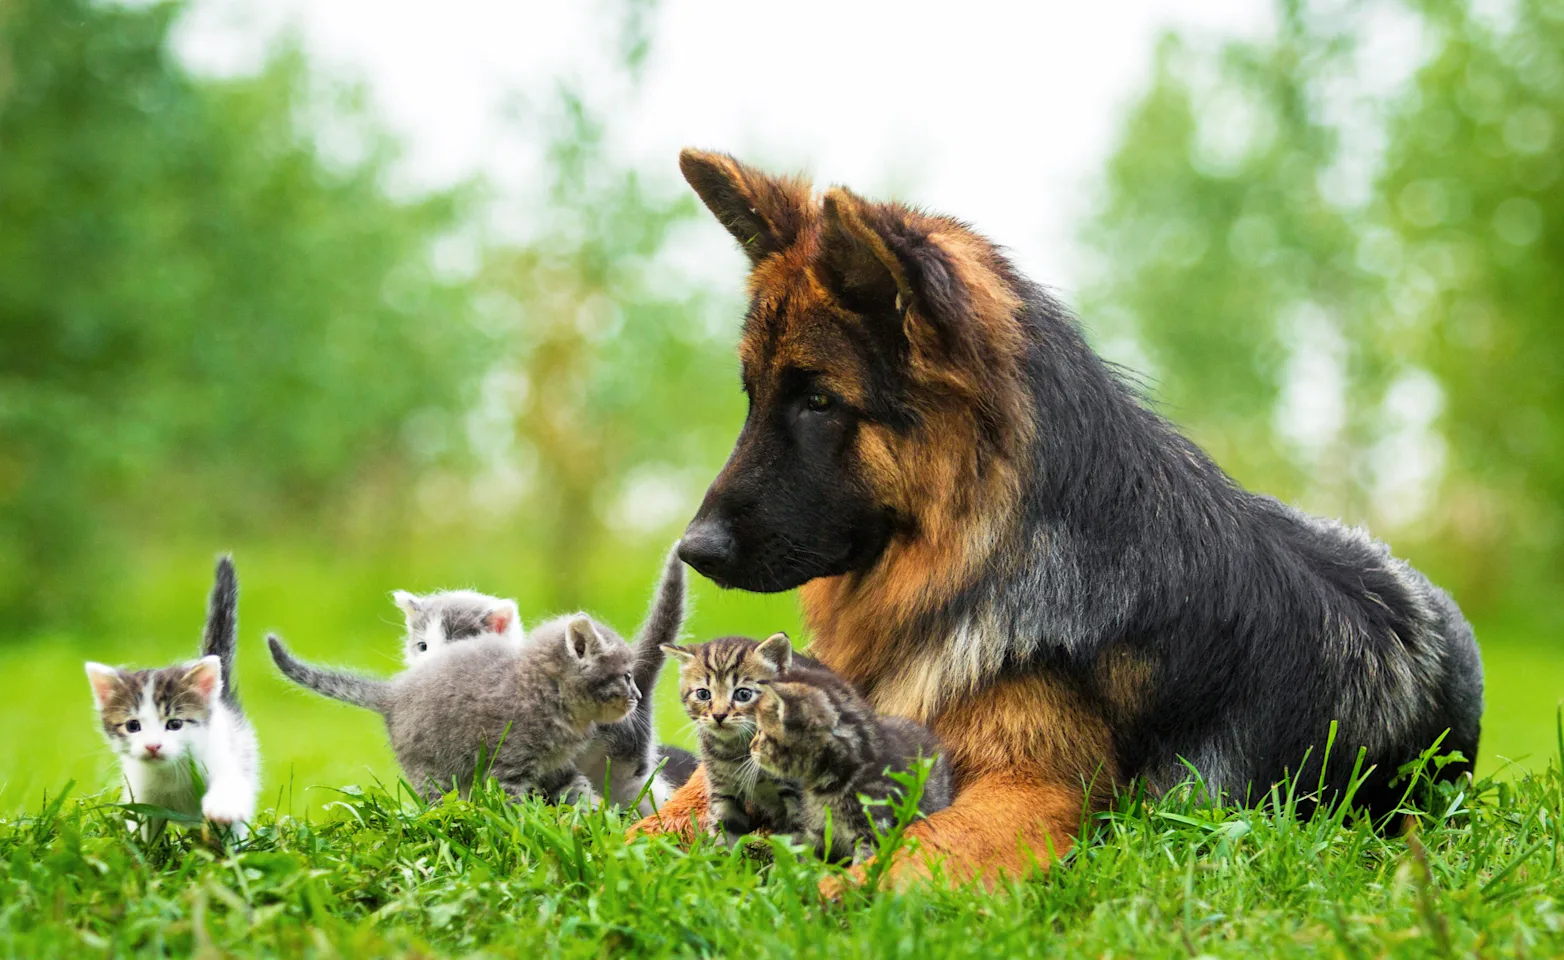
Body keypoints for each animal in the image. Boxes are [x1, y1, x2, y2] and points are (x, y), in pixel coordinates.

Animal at [83, 556, 259, 844]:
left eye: (175, 724)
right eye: (133, 725)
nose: (153, 746)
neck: (171, 770)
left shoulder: (224, 759)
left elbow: (232, 787)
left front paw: (222, 807)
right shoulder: (141, 792)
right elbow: (143, 828)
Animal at [272, 616, 638, 806]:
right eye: (627, 675)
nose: (636, 695)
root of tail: (394, 692)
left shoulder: (556, 767)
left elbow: (580, 793)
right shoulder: (507, 767)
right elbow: (516, 808)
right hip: (432, 771)